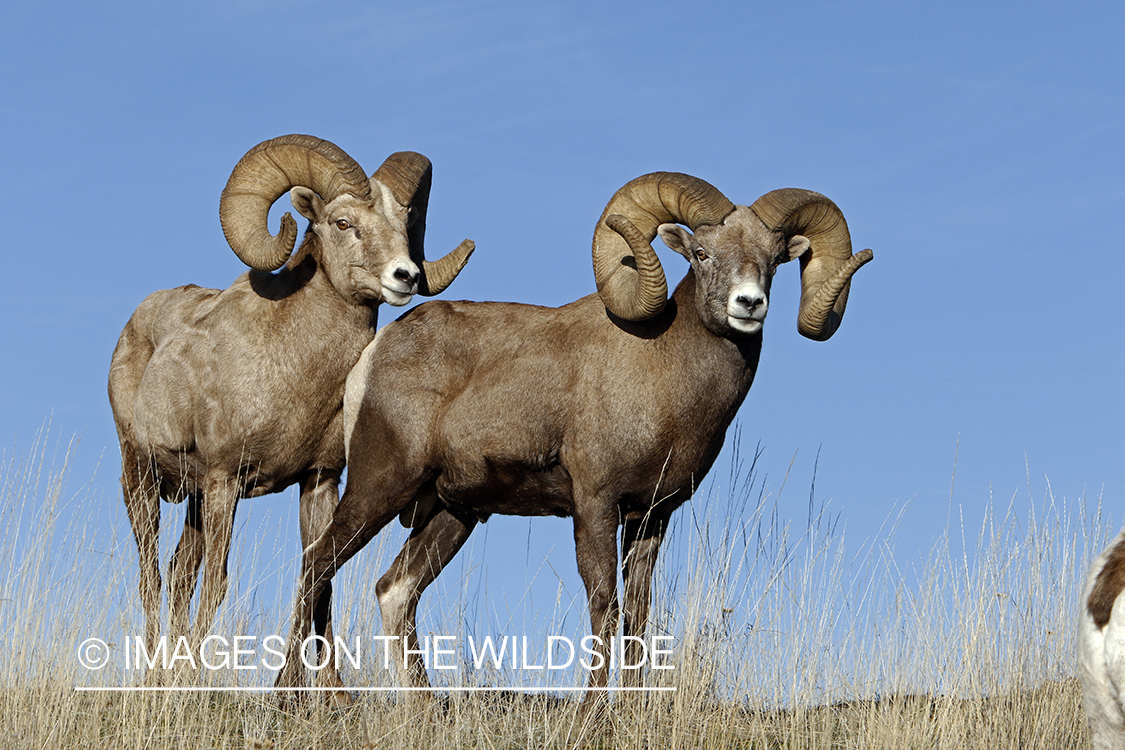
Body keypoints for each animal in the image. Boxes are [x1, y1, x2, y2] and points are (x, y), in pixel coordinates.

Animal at [108, 134, 474, 695]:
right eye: (343, 223)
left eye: (404, 220)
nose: (405, 277)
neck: (295, 369)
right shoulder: (225, 481)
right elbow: (218, 584)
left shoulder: (317, 481)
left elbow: (319, 581)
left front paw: (332, 695)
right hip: (142, 479)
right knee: (152, 575)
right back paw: (156, 678)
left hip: (191, 498)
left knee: (179, 571)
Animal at [273, 171, 872, 699]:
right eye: (702, 254)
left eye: (773, 261)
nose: (749, 304)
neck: (665, 374)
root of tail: (372, 358)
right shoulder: (595, 504)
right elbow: (604, 606)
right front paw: (593, 711)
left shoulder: (651, 517)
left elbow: (637, 614)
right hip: (379, 486)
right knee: (317, 566)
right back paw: (292, 695)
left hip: (451, 513)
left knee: (395, 591)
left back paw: (425, 706)